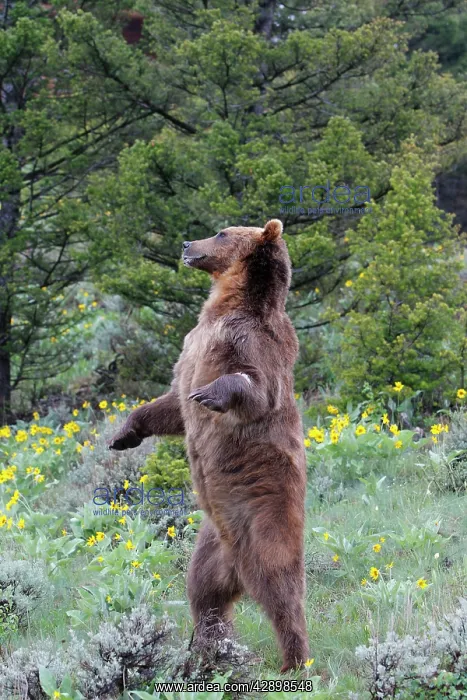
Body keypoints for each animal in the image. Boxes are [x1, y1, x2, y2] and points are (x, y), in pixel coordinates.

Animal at [109, 219, 309, 672]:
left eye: (221, 233)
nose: (186, 243)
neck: (225, 305)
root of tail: (237, 564)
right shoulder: (191, 347)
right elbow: (171, 404)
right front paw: (123, 433)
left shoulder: (253, 342)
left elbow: (255, 386)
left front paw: (211, 394)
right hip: (210, 545)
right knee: (203, 593)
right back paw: (206, 648)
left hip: (266, 516)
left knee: (282, 589)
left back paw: (294, 660)